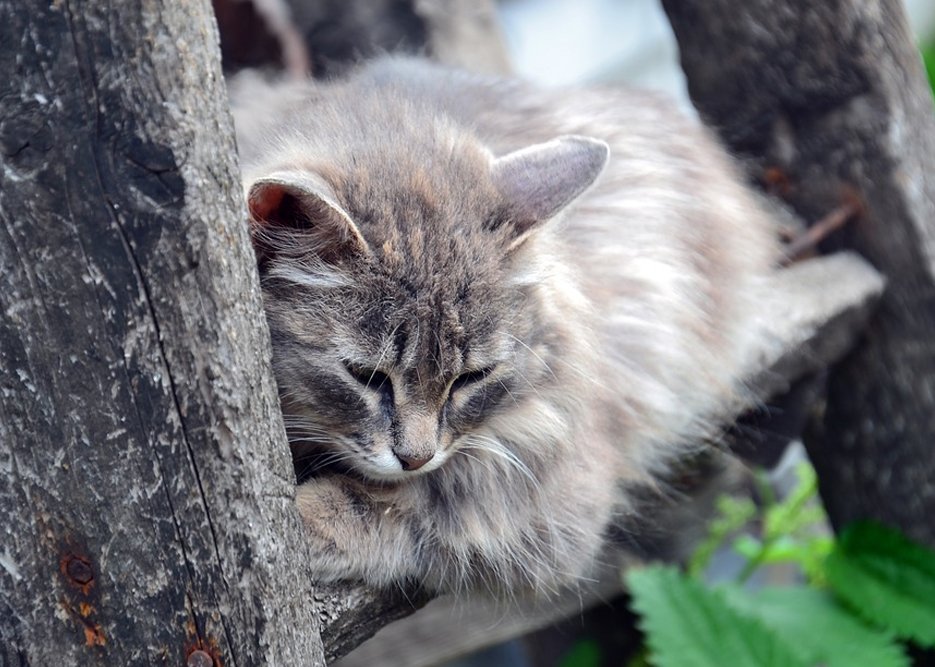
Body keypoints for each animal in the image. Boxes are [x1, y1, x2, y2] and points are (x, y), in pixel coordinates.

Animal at [230, 57, 777, 596]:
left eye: (472, 378)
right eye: (366, 376)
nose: (415, 457)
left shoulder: (546, 487)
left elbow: (410, 503)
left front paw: (304, 521)